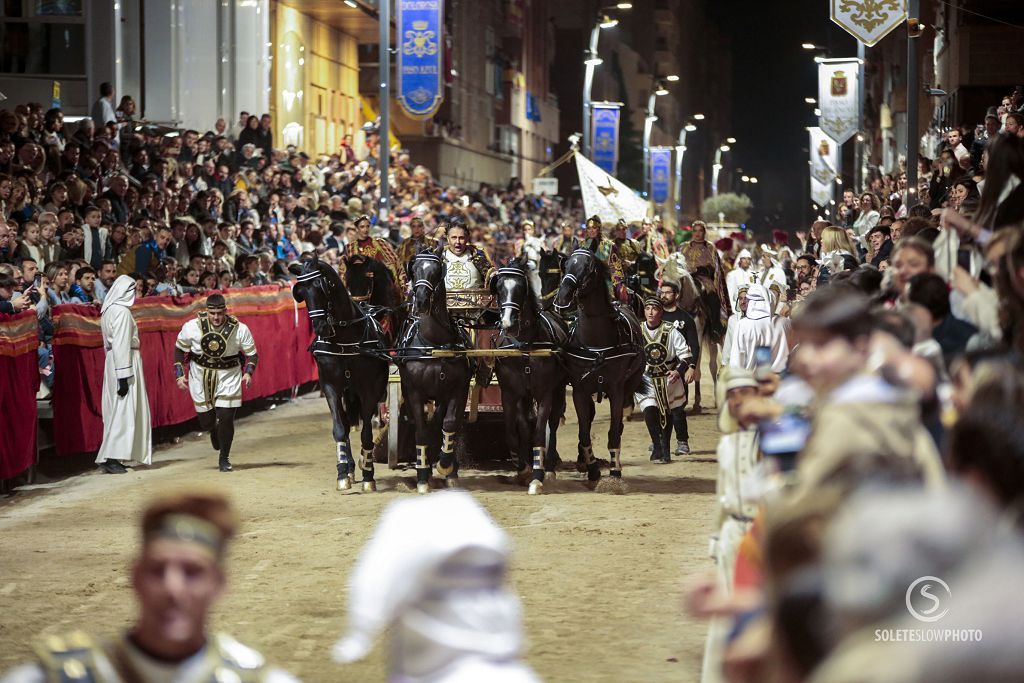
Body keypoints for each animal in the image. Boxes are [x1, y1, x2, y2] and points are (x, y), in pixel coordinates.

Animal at [296, 255, 391, 491]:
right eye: (302, 293)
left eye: (321, 286)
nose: (320, 327)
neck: (346, 337)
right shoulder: (331, 386)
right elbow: (340, 428)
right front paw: (342, 472)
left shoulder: (371, 387)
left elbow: (366, 431)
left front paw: (368, 473)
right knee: (346, 424)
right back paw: (349, 467)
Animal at [395, 249, 471, 491]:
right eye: (414, 269)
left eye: (437, 271)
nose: (420, 300)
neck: (434, 344)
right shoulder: (414, 391)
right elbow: (421, 429)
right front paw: (422, 475)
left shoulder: (458, 389)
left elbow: (449, 423)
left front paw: (446, 466)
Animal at [487, 259, 569, 493]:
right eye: (499, 287)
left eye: (520, 288)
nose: (507, 323)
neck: (524, 348)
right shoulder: (510, 394)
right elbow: (512, 432)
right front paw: (523, 469)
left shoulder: (545, 394)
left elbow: (540, 431)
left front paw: (537, 477)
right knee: (524, 426)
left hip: (558, 390)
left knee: (552, 423)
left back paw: (548, 469)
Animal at [552, 250, 638, 485]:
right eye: (566, 265)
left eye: (588, 269)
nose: (562, 299)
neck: (596, 343)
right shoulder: (580, 390)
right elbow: (584, 432)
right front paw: (591, 469)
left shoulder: (616, 390)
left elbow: (614, 432)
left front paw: (615, 472)